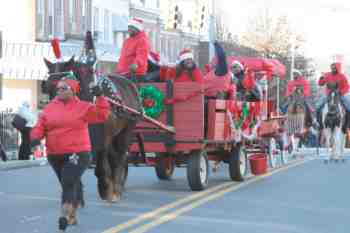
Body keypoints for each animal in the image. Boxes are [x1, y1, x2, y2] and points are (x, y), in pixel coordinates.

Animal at [43, 56, 142, 202]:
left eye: (63, 87)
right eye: (48, 86)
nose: (52, 116)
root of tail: (130, 83)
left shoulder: (103, 138)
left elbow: (101, 163)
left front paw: (105, 188)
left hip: (127, 130)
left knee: (121, 156)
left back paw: (116, 188)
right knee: (114, 156)